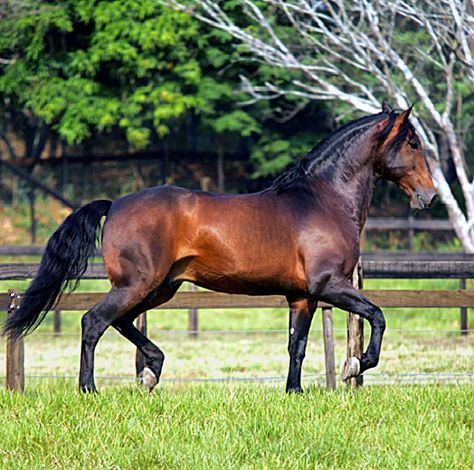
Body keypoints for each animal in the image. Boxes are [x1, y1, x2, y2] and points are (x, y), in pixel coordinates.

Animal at [3, 106, 436, 392]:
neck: (321, 200)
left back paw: (152, 371)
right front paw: (355, 365)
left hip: (159, 288)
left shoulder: (302, 296)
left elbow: (296, 346)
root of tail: (116, 203)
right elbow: (377, 315)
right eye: (413, 142)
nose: (429, 196)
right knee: (94, 322)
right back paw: (90, 388)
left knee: (121, 321)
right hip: (138, 284)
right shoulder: (329, 285)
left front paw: (294, 392)